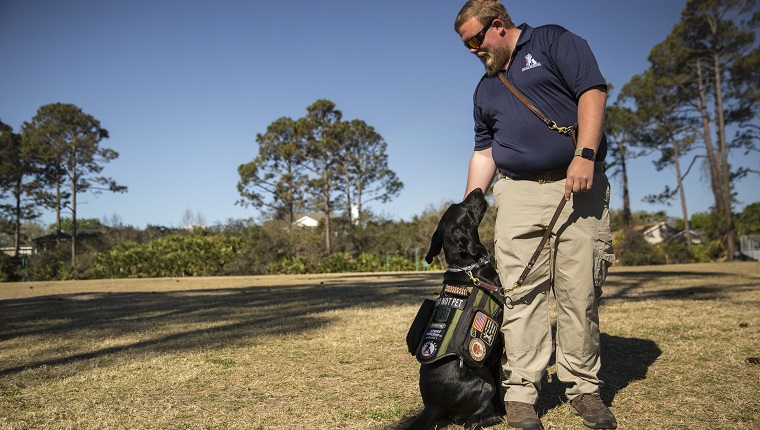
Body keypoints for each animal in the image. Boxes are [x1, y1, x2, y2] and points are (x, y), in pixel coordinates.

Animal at [406, 189, 508, 430]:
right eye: (464, 207)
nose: (478, 190)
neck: (467, 267)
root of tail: (432, 406)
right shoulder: (495, 354)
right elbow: (499, 392)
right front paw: (502, 410)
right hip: (485, 384)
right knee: (470, 422)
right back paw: (493, 418)